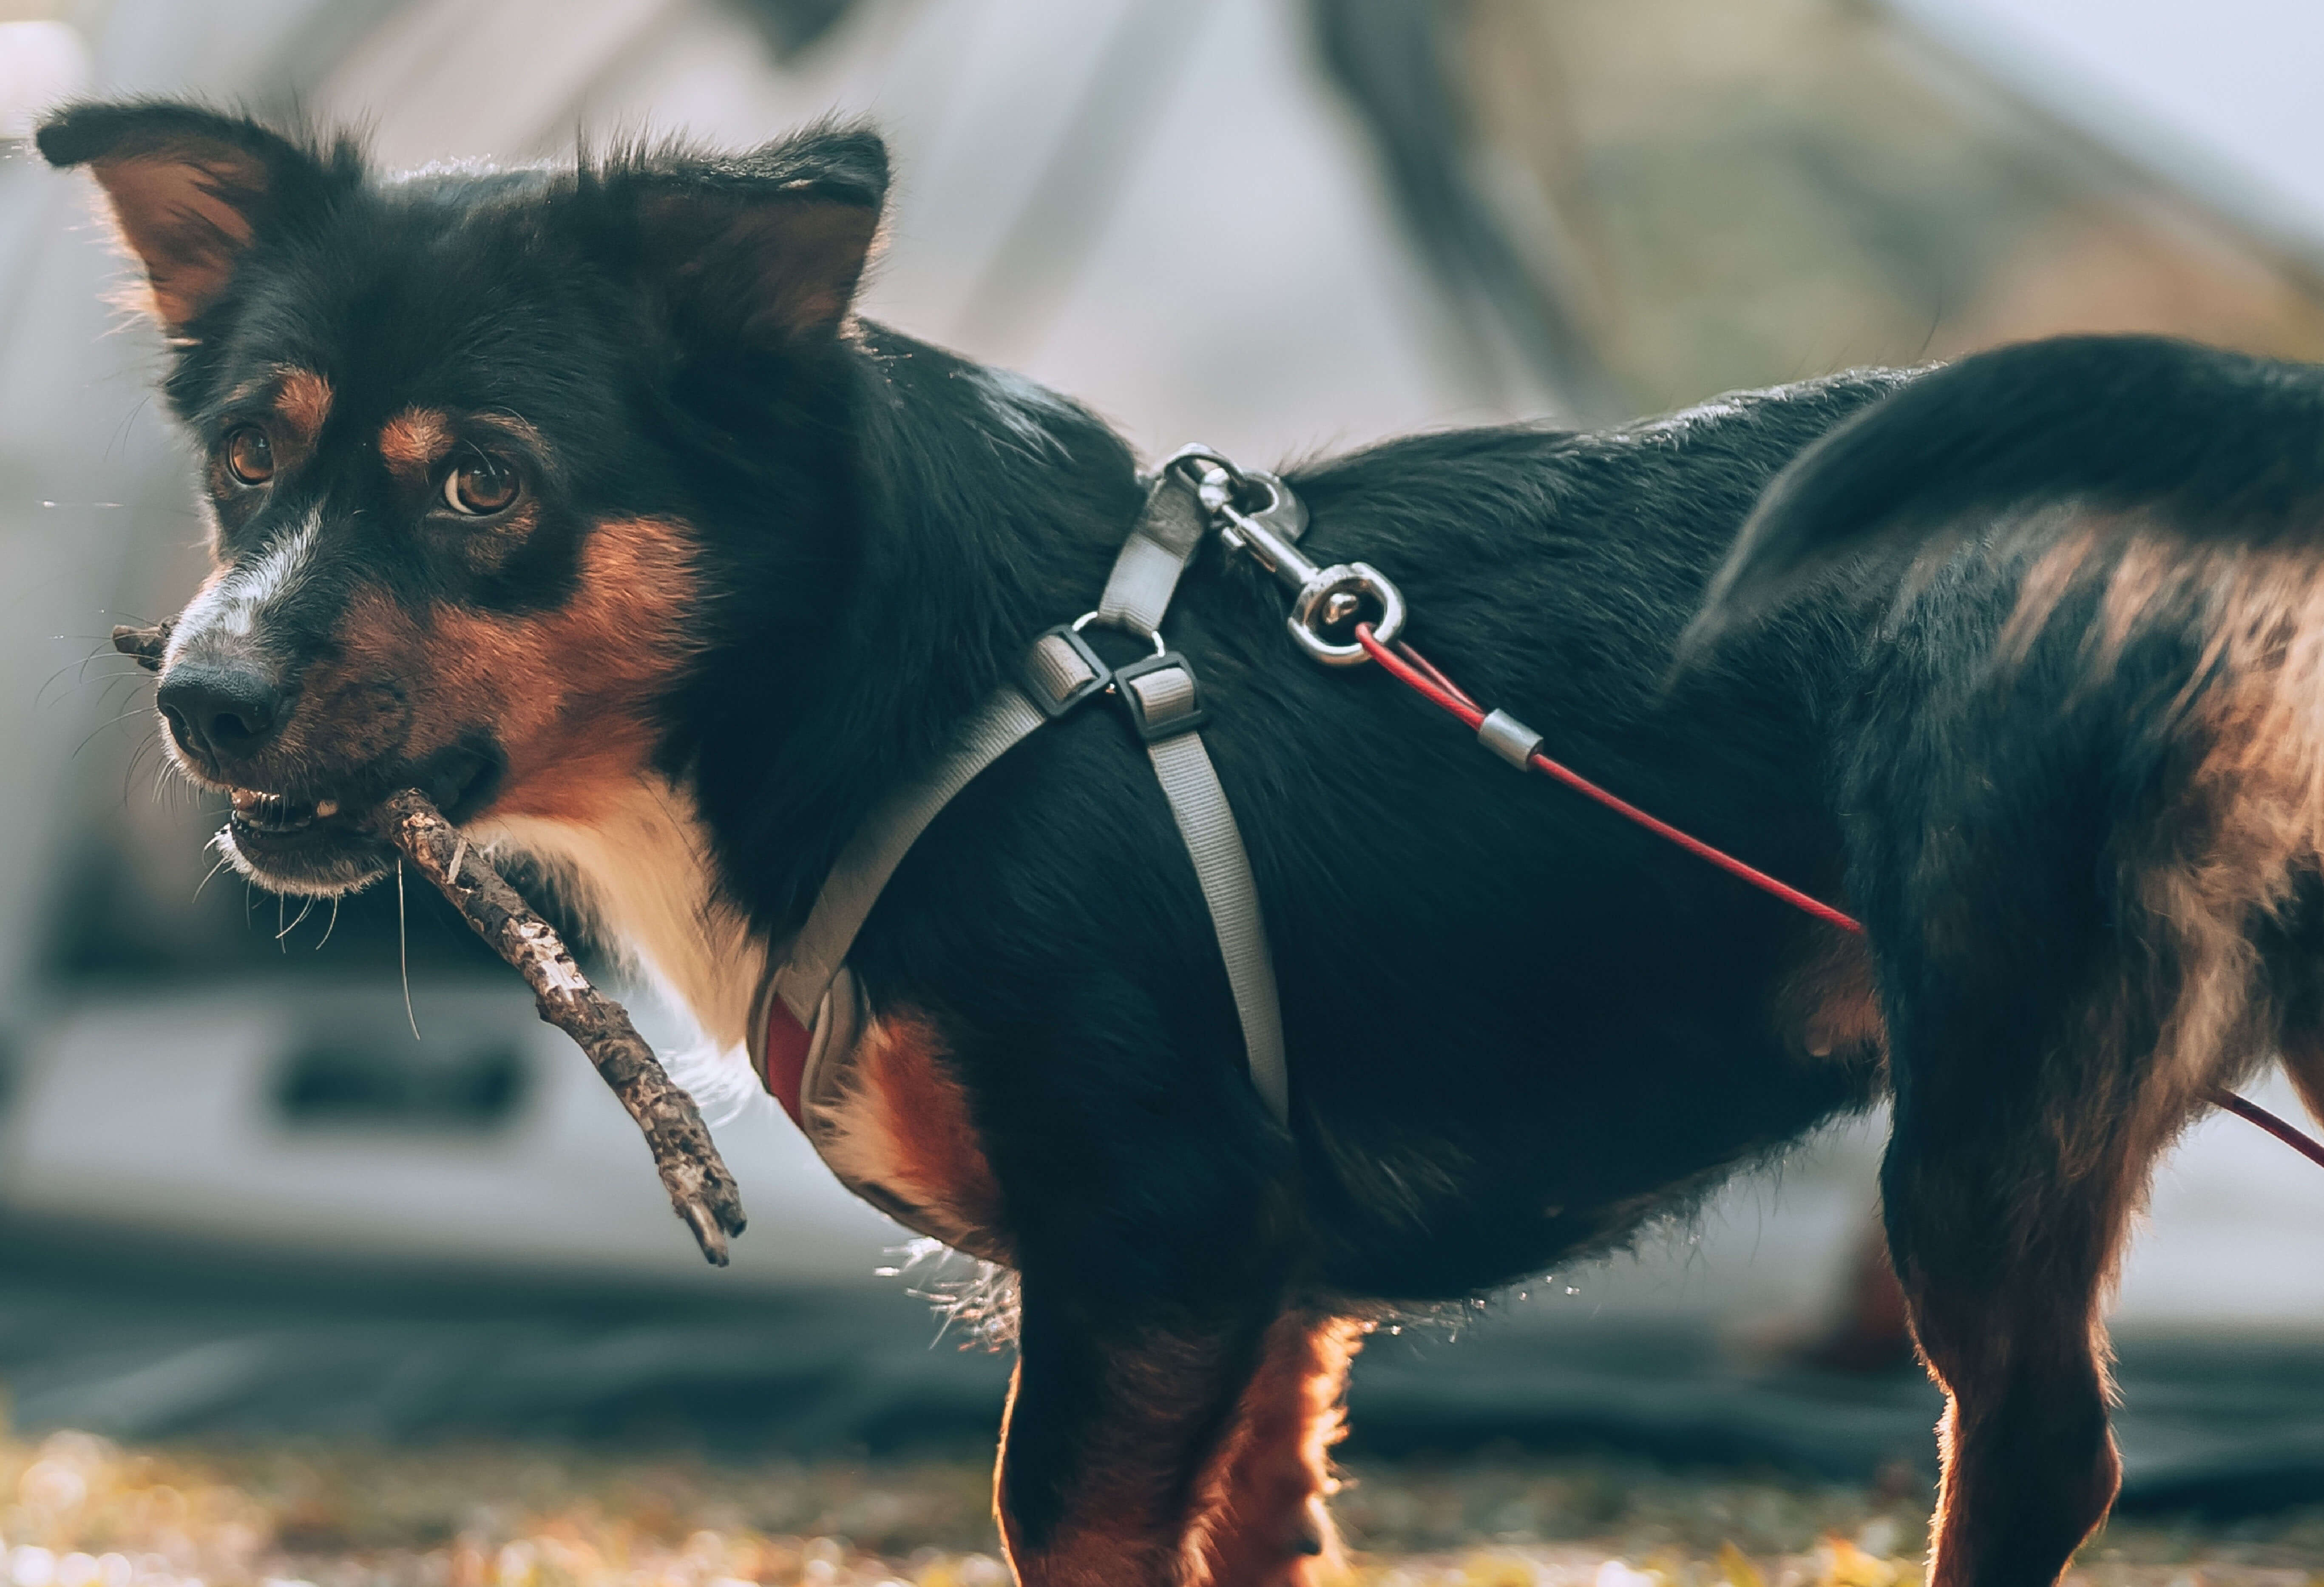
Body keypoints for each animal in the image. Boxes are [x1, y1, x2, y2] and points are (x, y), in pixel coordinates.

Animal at [41, 99, 2324, 1587]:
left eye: (487, 484)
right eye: (245, 459)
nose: (200, 701)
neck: (901, 675)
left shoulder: (1152, 1243)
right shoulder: (1258, 1296)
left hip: (1990, 1098)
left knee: (2037, 1458)